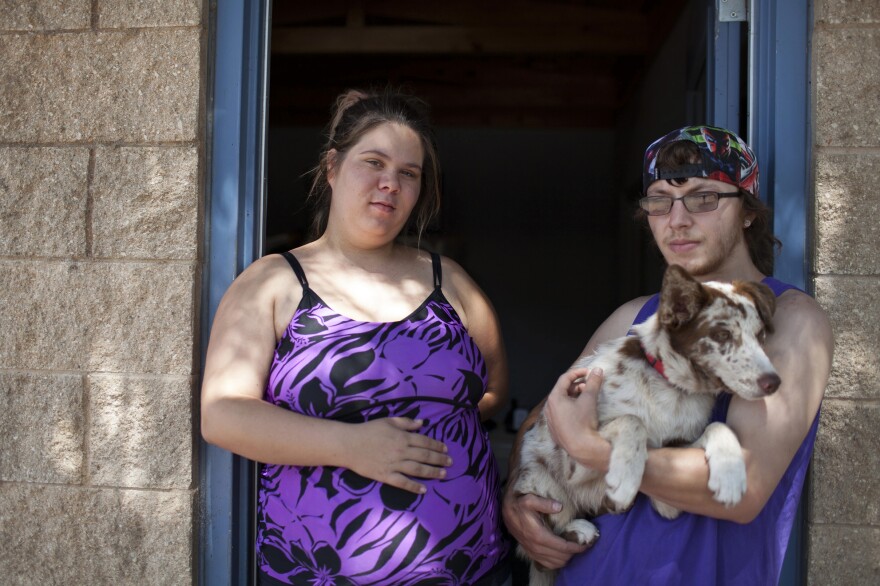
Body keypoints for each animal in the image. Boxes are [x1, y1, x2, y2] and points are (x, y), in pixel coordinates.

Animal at [512, 264, 780, 584]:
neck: (672, 389)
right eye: (722, 334)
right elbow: (632, 420)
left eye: (760, 335)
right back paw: (578, 530)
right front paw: (626, 477)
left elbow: (717, 427)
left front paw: (729, 473)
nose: (774, 383)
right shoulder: (572, 451)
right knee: (544, 554)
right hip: (539, 480)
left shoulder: (669, 496)